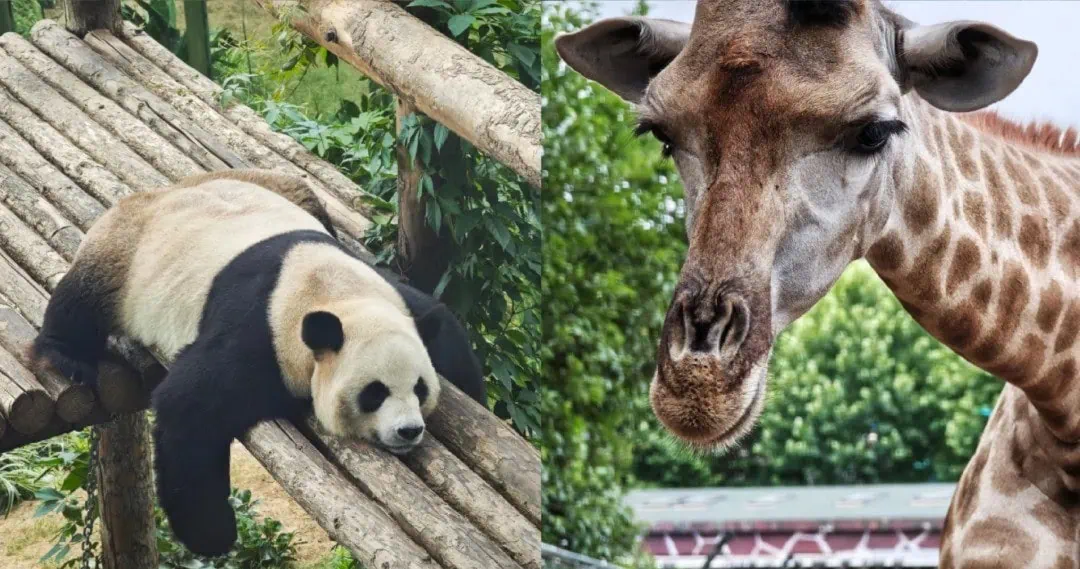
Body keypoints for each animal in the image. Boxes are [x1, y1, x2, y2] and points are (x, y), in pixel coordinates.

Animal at [29, 169, 486, 557]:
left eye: (419, 388)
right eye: (374, 393)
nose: (409, 430)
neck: (328, 290)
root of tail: (158, 192)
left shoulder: (394, 299)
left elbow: (443, 327)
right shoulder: (261, 332)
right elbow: (190, 403)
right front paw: (213, 535)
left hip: (272, 185)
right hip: (124, 253)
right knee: (81, 300)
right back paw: (68, 355)